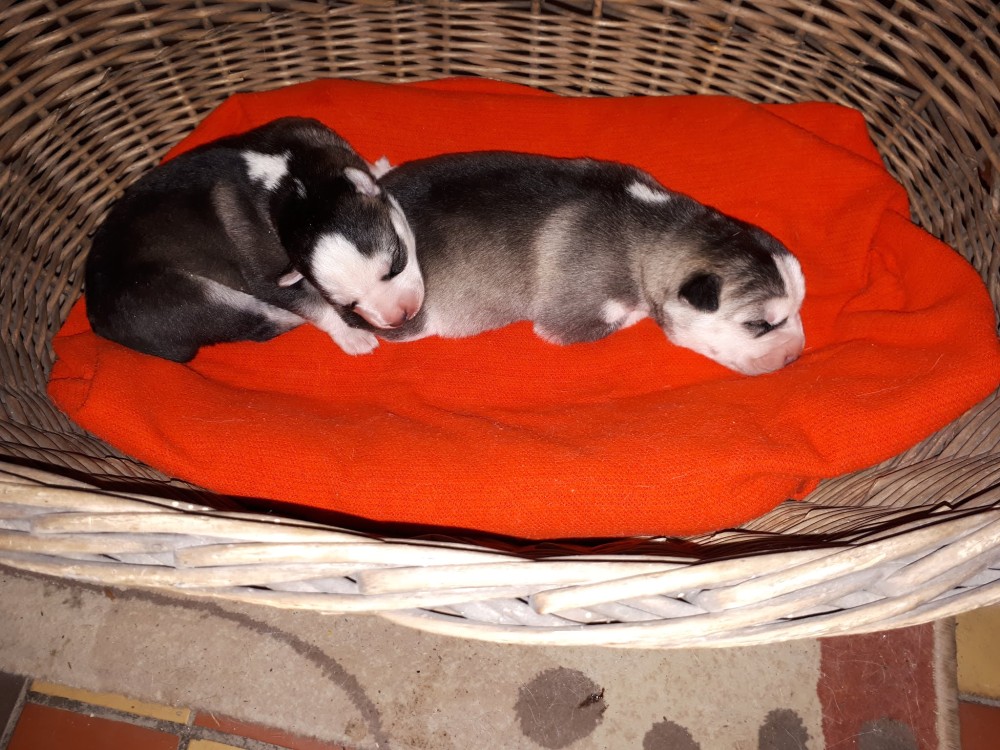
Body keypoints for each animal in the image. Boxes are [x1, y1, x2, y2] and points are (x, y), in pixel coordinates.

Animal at [85, 117, 423, 362]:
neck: (294, 187)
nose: (401, 317)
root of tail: (97, 321)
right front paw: (351, 334)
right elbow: (312, 305)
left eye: (397, 263)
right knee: (258, 322)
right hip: (188, 297)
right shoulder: (265, 276)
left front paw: (379, 168)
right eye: (348, 303)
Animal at [358, 151, 804, 375]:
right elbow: (635, 312)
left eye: (799, 309)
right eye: (758, 325)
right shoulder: (574, 317)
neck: (659, 227)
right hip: (406, 317)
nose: (796, 354)